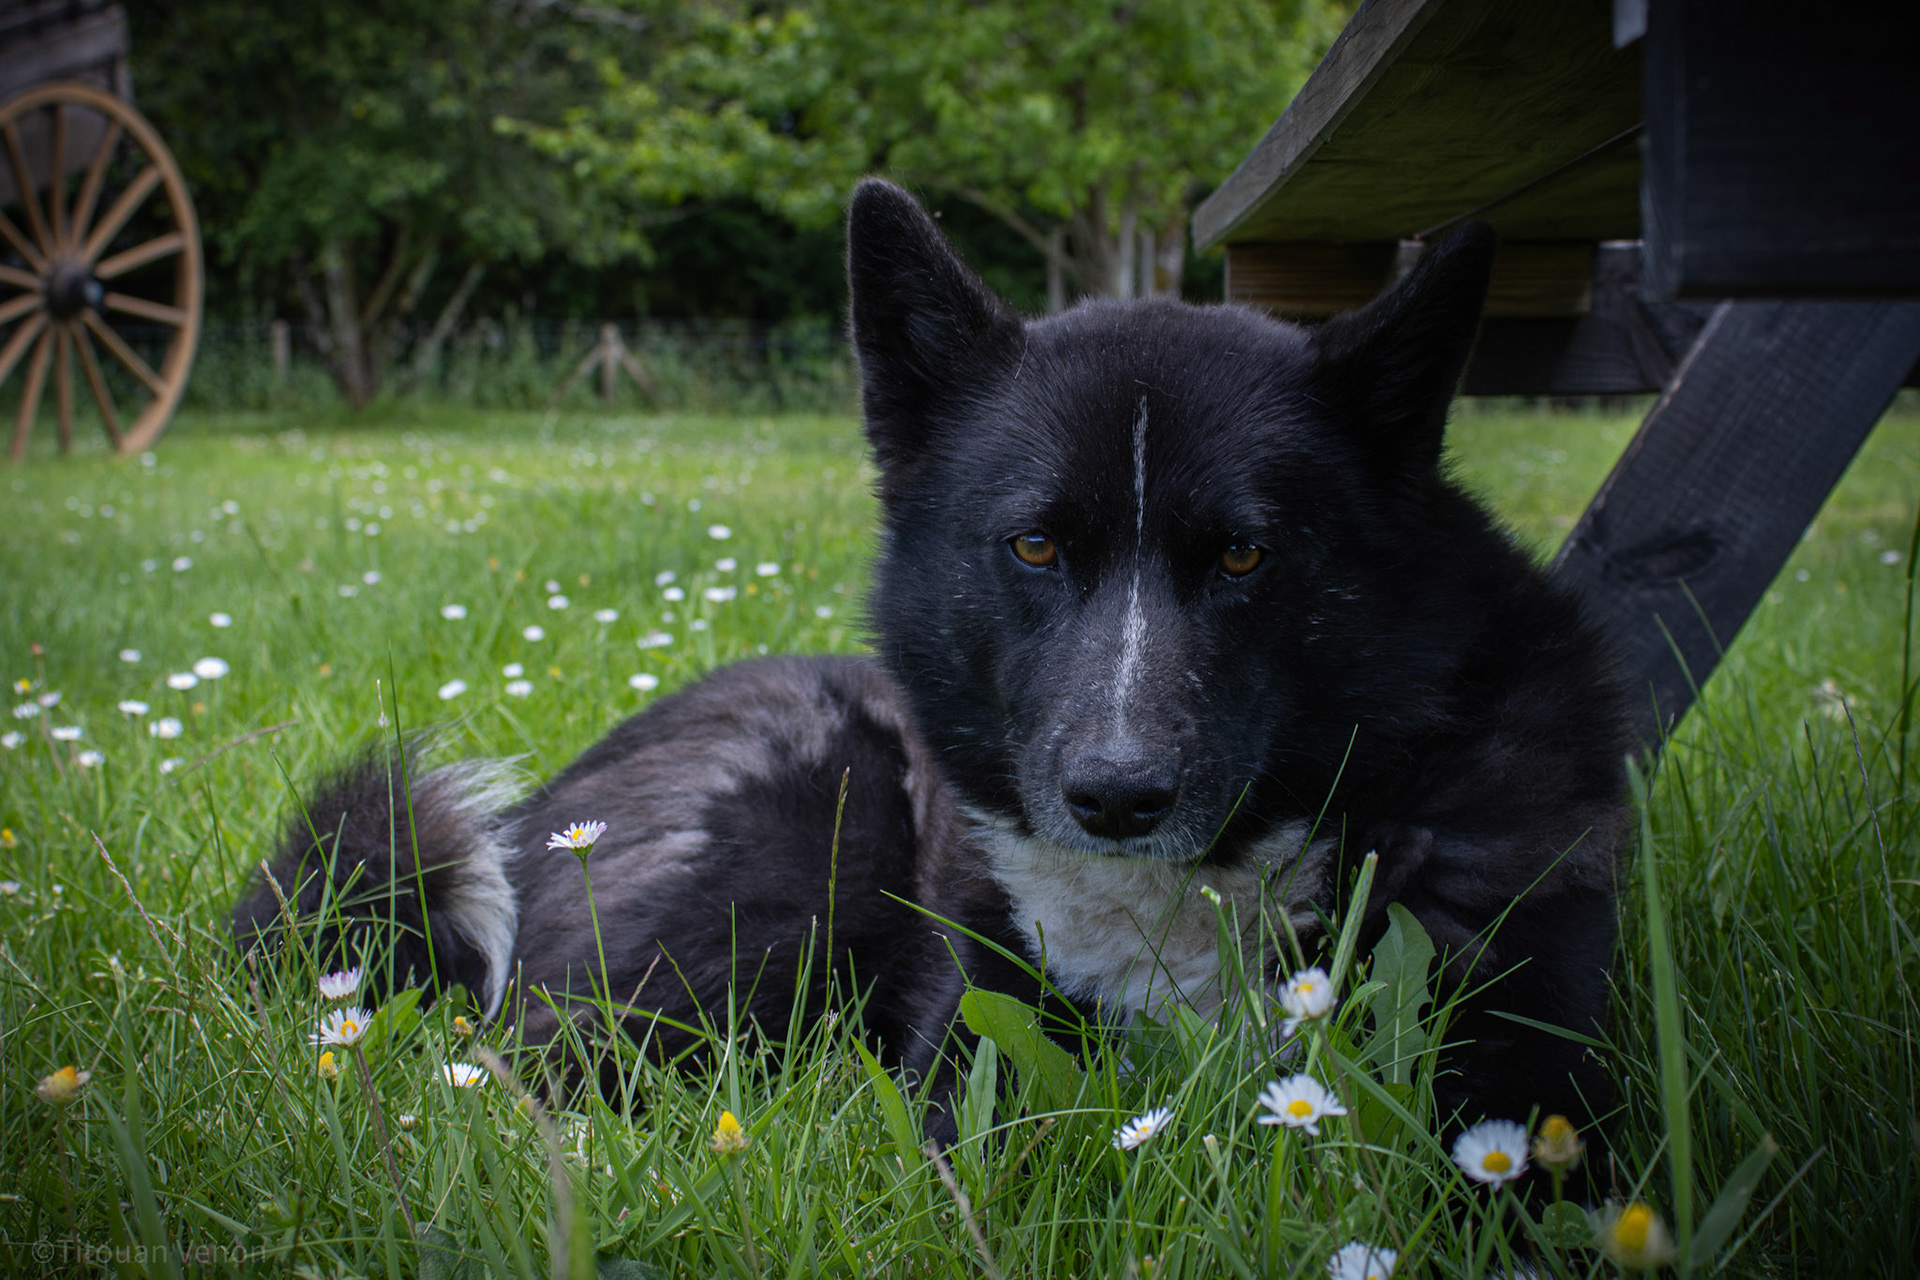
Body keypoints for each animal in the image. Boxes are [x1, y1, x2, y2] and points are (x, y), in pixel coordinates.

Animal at [234, 179, 1630, 1139]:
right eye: (1032, 543)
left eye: (1244, 554)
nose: (1117, 797)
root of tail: (543, 809)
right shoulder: (973, 1050)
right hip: (798, 840)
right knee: (527, 1071)